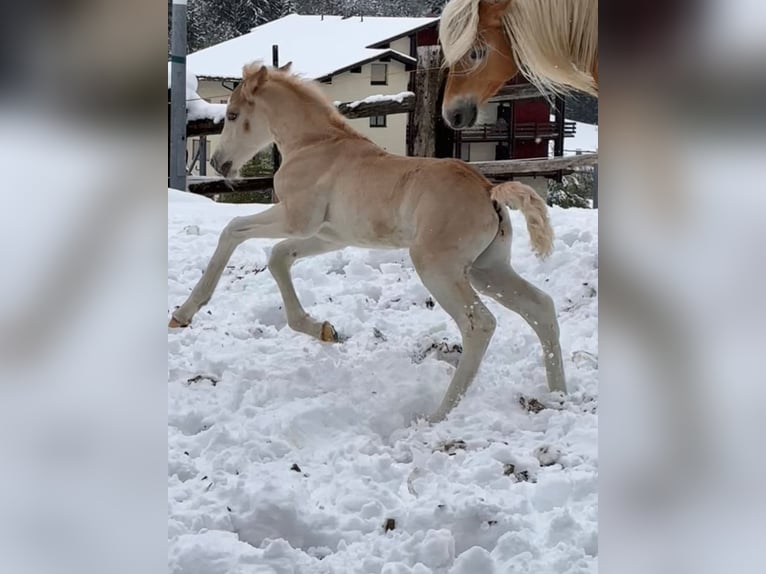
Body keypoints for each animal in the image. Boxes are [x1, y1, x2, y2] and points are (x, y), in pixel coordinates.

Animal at [171, 64, 568, 424]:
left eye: (233, 114)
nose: (219, 163)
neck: (313, 146)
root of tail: (490, 191)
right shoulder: (328, 236)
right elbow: (280, 257)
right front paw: (323, 330)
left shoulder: (295, 219)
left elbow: (233, 229)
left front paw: (184, 313)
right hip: (488, 269)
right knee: (541, 307)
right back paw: (559, 395)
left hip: (439, 268)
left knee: (479, 325)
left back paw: (439, 414)